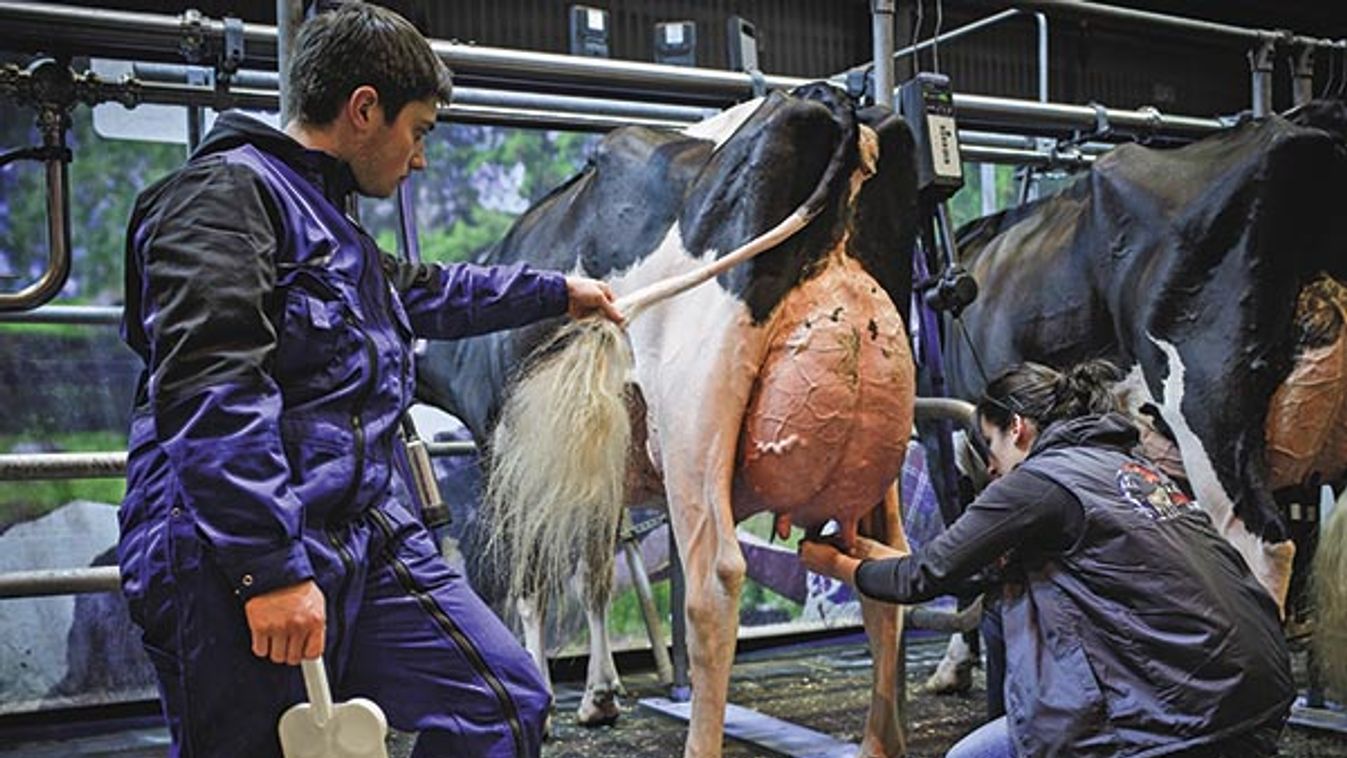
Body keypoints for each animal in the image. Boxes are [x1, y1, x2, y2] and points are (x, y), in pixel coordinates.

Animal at [420, 84, 926, 758]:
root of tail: (836, 101)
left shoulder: (506, 448)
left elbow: (532, 583)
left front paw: (549, 700)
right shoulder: (601, 466)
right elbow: (595, 573)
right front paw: (600, 695)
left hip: (692, 415)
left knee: (715, 583)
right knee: (886, 565)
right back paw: (879, 741)